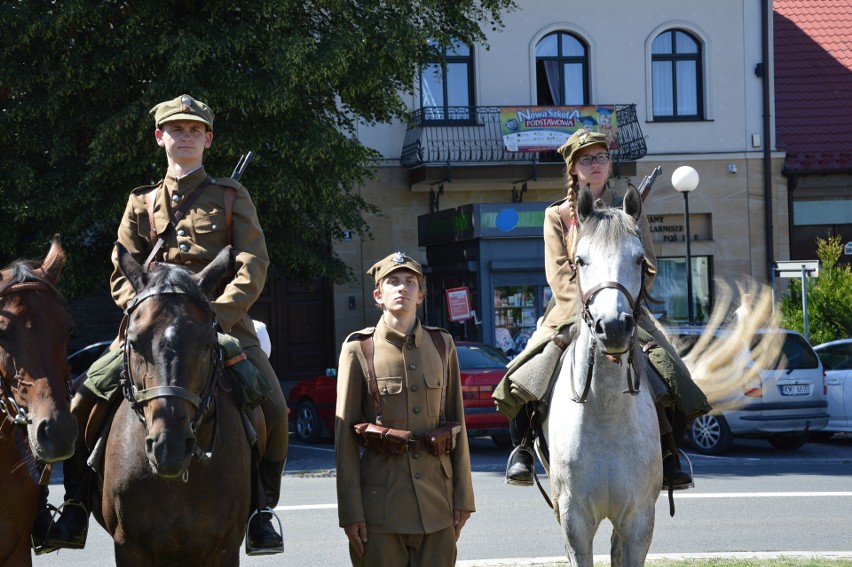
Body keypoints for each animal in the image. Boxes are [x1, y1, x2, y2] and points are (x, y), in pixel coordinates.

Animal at [544, 184, 664, 564]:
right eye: (580, 260)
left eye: (640, 260)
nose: (612, 327)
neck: (607, 410)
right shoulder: (574, 519)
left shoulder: (640, 519)